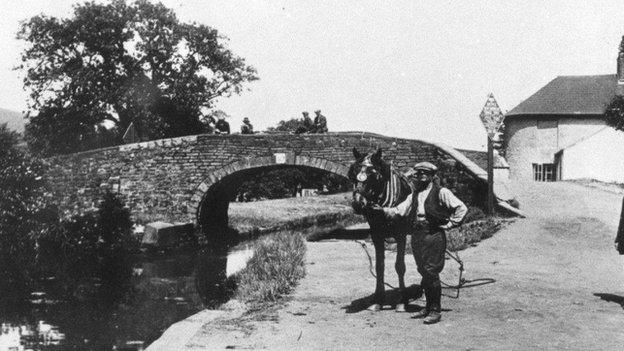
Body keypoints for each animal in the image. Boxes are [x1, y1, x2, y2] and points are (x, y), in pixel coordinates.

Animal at [348, 147, 412, 312]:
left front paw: (402, 301)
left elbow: (400, 266)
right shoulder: (377, 235)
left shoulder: (401, 235)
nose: (358, 204)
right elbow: (379, 266)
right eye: (353, 173)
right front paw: (378, 300)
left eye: (374, 175)